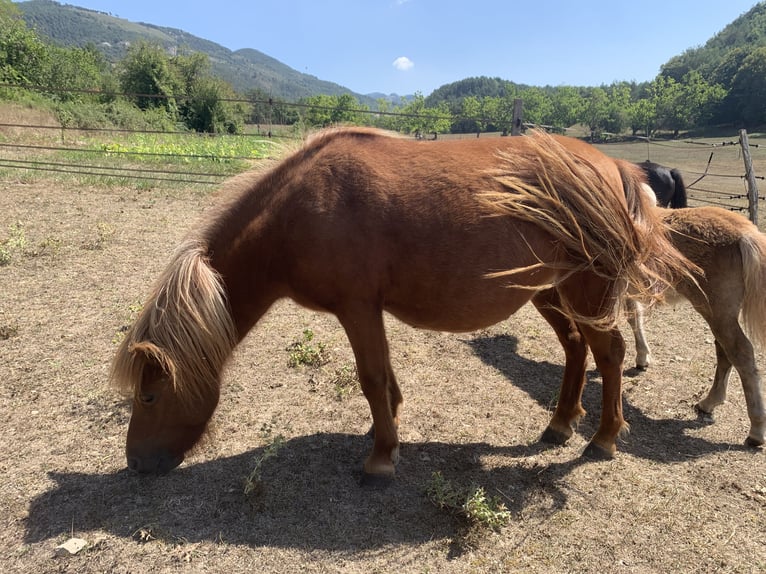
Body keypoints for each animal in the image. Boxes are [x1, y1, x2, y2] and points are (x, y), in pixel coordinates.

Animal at [112, 127, 696, 482]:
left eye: (148, 396)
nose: (136, 464)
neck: (298, 212)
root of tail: (617, 167)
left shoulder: (356, 308)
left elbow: (371, 378)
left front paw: (379, 459)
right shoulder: (368, 310)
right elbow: (384, 378)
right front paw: (385, 430)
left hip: (587, 289)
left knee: (611, 354)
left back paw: (603, 438)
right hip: (549, 292)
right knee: (577, 348)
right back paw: (560, 423)